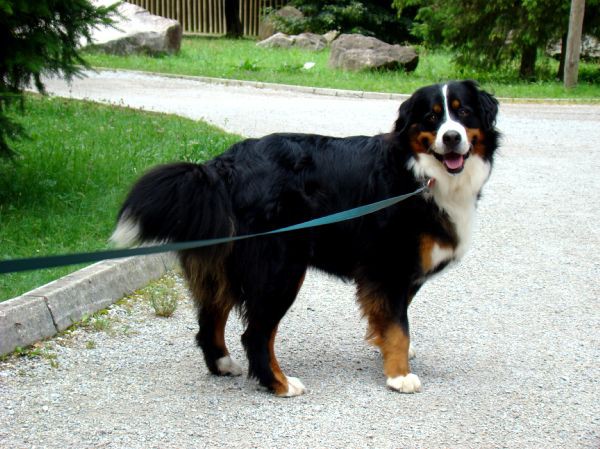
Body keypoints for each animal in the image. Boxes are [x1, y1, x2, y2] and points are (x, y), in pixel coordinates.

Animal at [112, 80, 502, 396]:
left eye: (463, 112)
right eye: (432, 117)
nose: (451, 137)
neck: (418, 172)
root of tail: (223, 166)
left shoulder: (397, 276)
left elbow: (391, 320)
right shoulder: (389, 267)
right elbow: (397, 326)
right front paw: (399, 375)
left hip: (227, 267)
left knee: (211, 321)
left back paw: (224, 365)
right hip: (280, 270)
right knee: (256, 334)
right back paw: (280, 384)